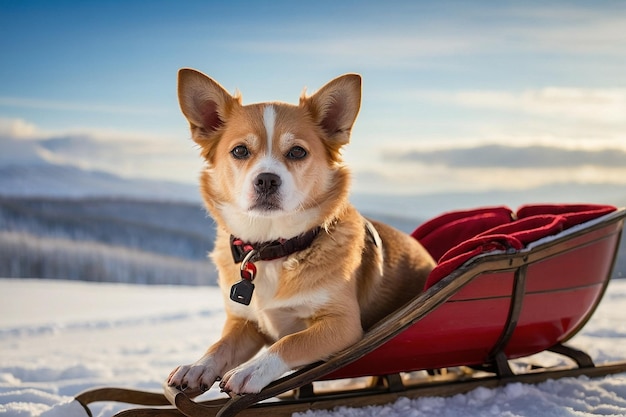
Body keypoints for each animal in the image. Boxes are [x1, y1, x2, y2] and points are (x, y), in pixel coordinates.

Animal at [168, 70, 436, 394]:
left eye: (297, 152)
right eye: (240, 150)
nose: (266, 180)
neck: (272, 248)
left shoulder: (342, 324)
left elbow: (290, 341)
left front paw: (251, 370)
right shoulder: (246, 323)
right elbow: (219, 346)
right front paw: (197, 366)